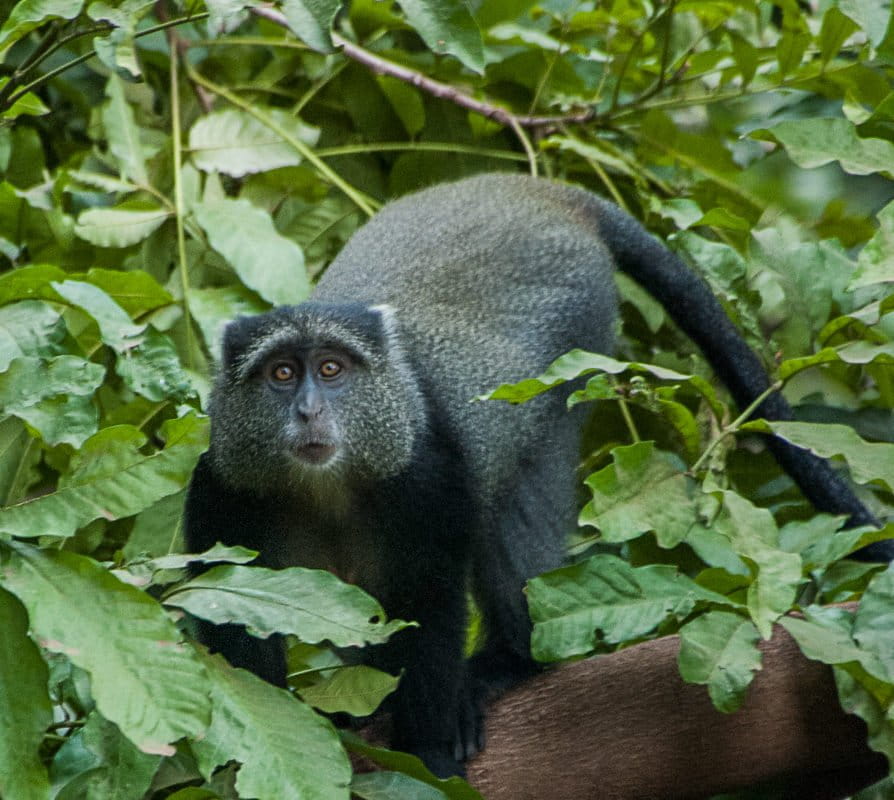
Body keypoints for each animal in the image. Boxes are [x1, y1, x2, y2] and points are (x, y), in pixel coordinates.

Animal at [184, 173, 888, 778]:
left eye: (331, 369)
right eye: (281, 374)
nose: (308, 411)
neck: (328, 488)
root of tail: (542, 193)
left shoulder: (429, 480)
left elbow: (432, 615)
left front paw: (427, 753)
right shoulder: (221, 492)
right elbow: (237, 624)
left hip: (575, 349)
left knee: (512, 520)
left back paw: (504, 663)